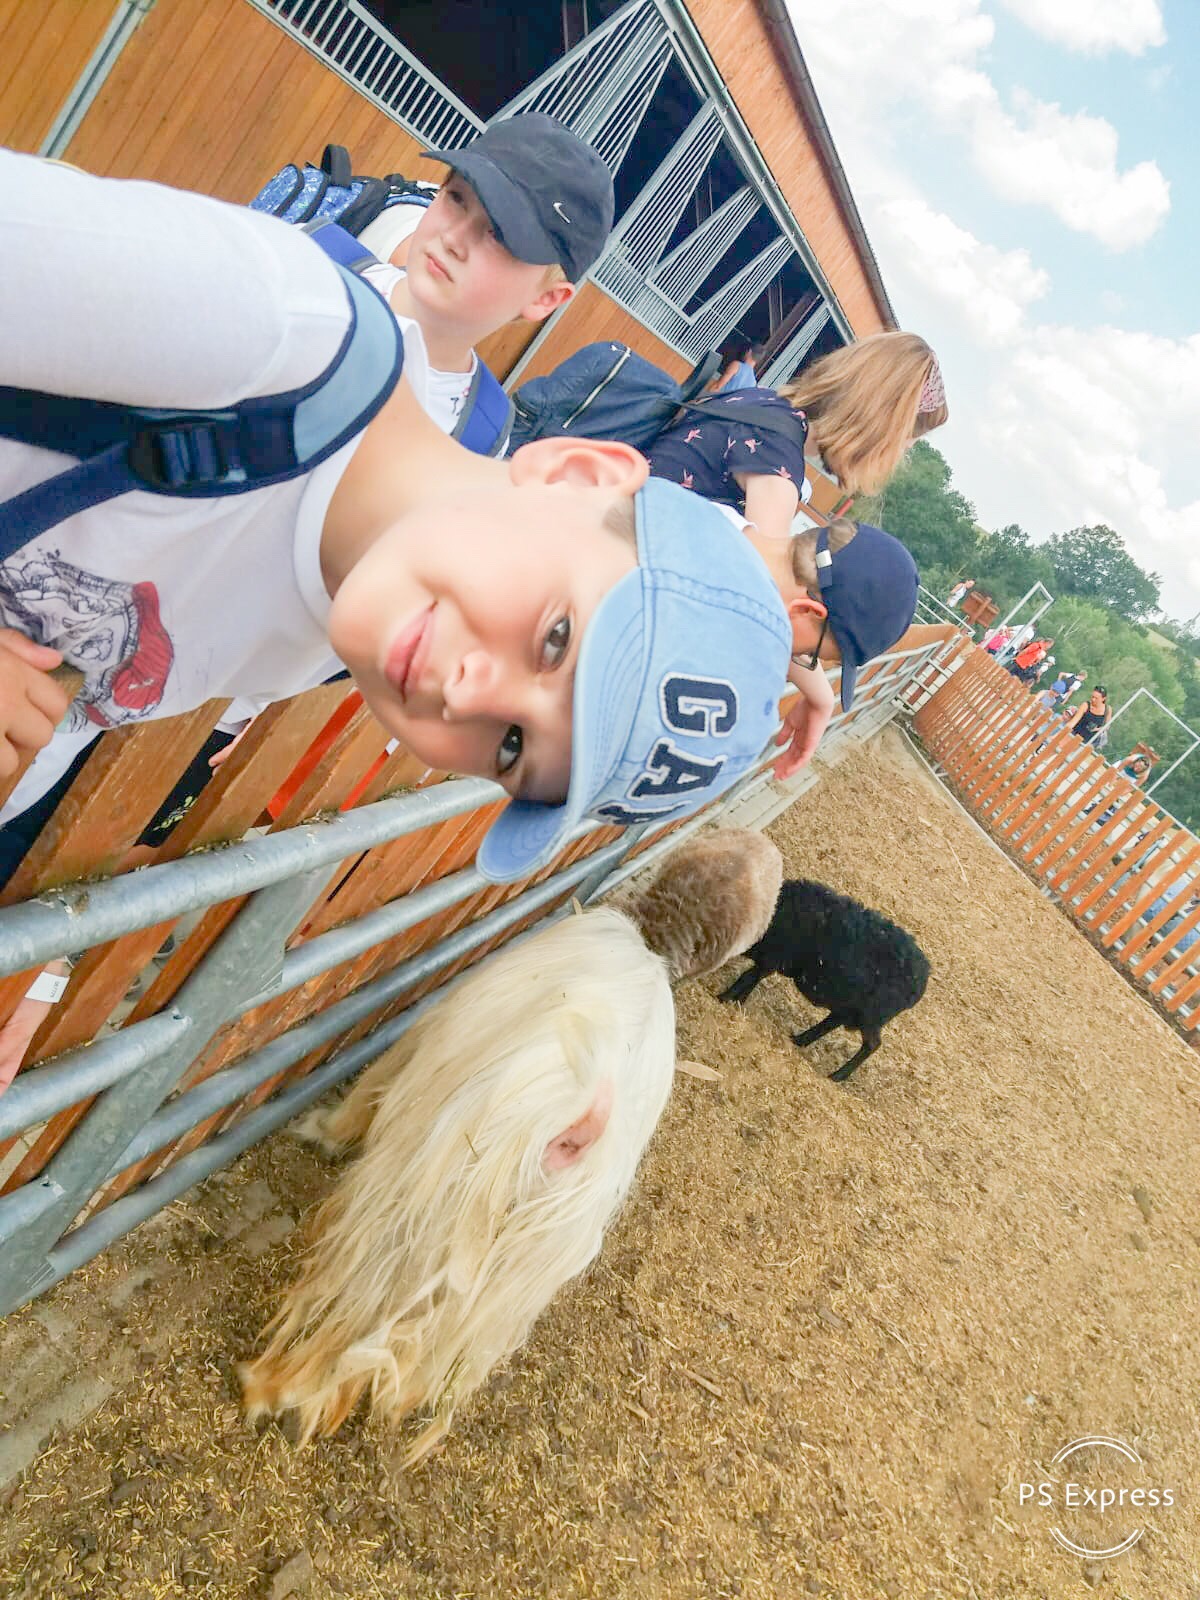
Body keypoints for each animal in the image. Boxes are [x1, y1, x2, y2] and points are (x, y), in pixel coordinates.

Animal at [239, 827, 780, 1452]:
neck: (653, 942)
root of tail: (574, 1133)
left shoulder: (426, 1043)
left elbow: (373, 1083)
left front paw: (324, 1131)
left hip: (424, 1197)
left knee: (360, 1297)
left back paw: (269, 1389)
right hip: (511, 1267)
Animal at [720, 878, 929, 1081]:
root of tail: (922, 980)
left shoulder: (774, 957)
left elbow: (748, 977)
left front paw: (724, 998)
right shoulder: (771, 960)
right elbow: (752, 980)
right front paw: (737, 1001)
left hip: (870, 1015)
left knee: (872, 1044)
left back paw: (837, 1075)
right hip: (848, 1006)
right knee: (831, 1022)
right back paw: (799, 1040)